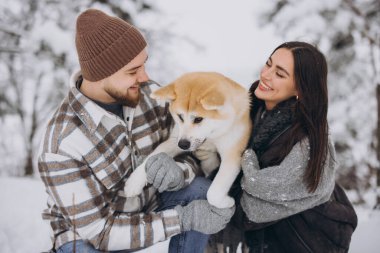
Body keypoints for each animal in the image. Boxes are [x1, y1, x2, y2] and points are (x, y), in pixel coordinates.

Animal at [123, 72, 251, 209]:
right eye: (180, 116)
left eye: (199, 119)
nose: (183, 145)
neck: (211, 137)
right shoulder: (175, 139)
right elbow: (152, 156)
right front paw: (134, 182)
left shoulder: (232, 155)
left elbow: (213, 193)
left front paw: (226, 202)